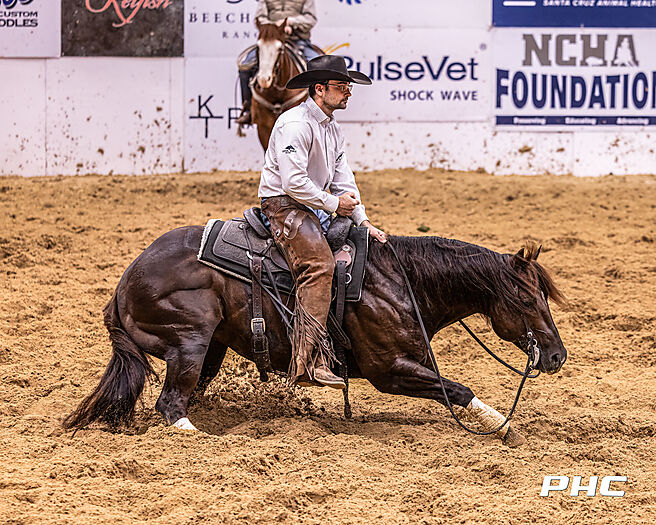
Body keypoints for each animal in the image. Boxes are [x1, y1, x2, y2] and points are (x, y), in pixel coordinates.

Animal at [64, 226, 567, 447]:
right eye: (528, 300)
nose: (557, 356)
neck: (400, 280)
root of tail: (124, 283)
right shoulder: (389, 371)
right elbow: (457, 389)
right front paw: (503, 426)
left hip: (211, 349)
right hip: (191, 341)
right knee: (169, 403)